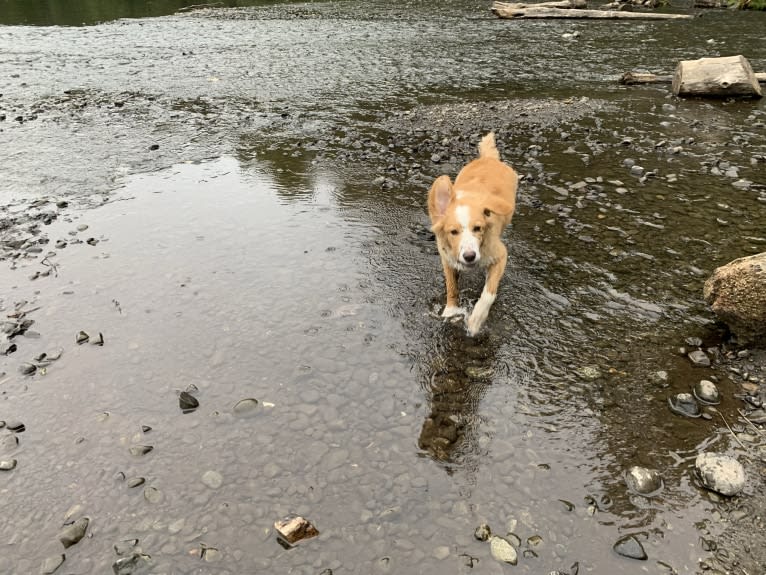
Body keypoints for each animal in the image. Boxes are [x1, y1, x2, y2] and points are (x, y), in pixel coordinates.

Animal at [428, 132, 520, 336]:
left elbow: (488, 294)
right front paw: (450, 311)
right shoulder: (447, 258)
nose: (469, 256)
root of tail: (489, 158)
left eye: (478, 228)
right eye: (453, 232)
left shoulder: (501, 255)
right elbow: (452, 287)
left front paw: (475, 320)